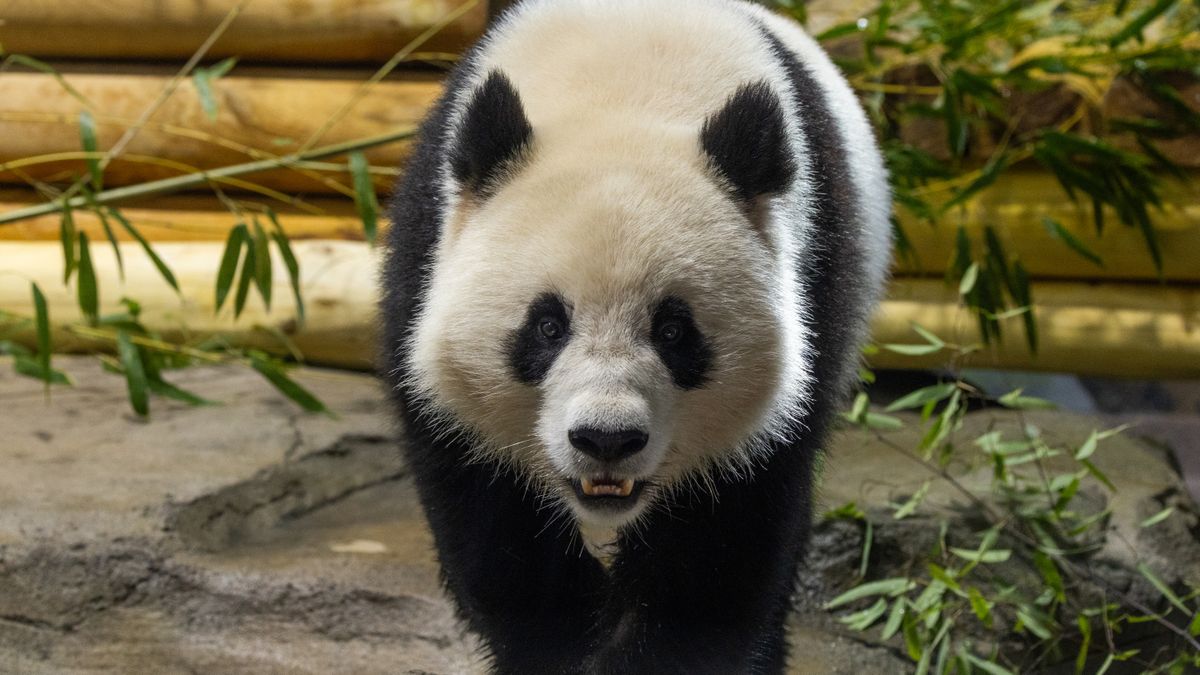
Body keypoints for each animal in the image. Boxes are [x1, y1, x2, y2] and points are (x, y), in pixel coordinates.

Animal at [381, 0, 892, 667]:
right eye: (547, 325)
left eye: (674, 331)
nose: (607, 439)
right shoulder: (426, 257)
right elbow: (495, 527)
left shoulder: (811, 288)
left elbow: (719, 552)